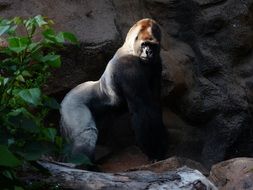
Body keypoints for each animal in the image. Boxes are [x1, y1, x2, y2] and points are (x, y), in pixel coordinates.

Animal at [60, 18, 168, 161]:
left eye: (153, 46)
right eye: (144, 44)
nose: (148, 52)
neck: (130, 48)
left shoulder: (157, 62)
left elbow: (154, 103)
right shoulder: (128, 68)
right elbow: (142, 108)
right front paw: (154, 151)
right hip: (71, 103)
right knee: (85, 134)